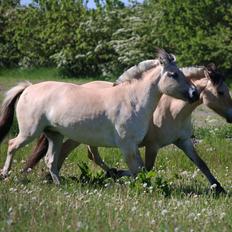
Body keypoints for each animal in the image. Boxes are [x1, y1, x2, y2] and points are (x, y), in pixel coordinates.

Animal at [0, 49, 199, 185]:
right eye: (173, 74)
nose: (195, 93)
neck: (132, 100)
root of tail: (28, 87)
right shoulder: (126, 145)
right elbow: (138, 170)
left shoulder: (133, 145)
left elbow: (142, 168)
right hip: (30, 132)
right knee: (12, 145)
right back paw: (5, 174)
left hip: (55, 135)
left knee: (50, 160)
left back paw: (59, 184)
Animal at [23, 63, 230, 194]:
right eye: (221, 92)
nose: (231, 116)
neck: (171, 109)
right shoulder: (152, 146)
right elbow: (146, 167)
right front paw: (122, 174)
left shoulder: (184, 141)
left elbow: (201, 164)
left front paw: (219, 188)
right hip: (76, 136)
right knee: (67, 152)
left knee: (88, 155)